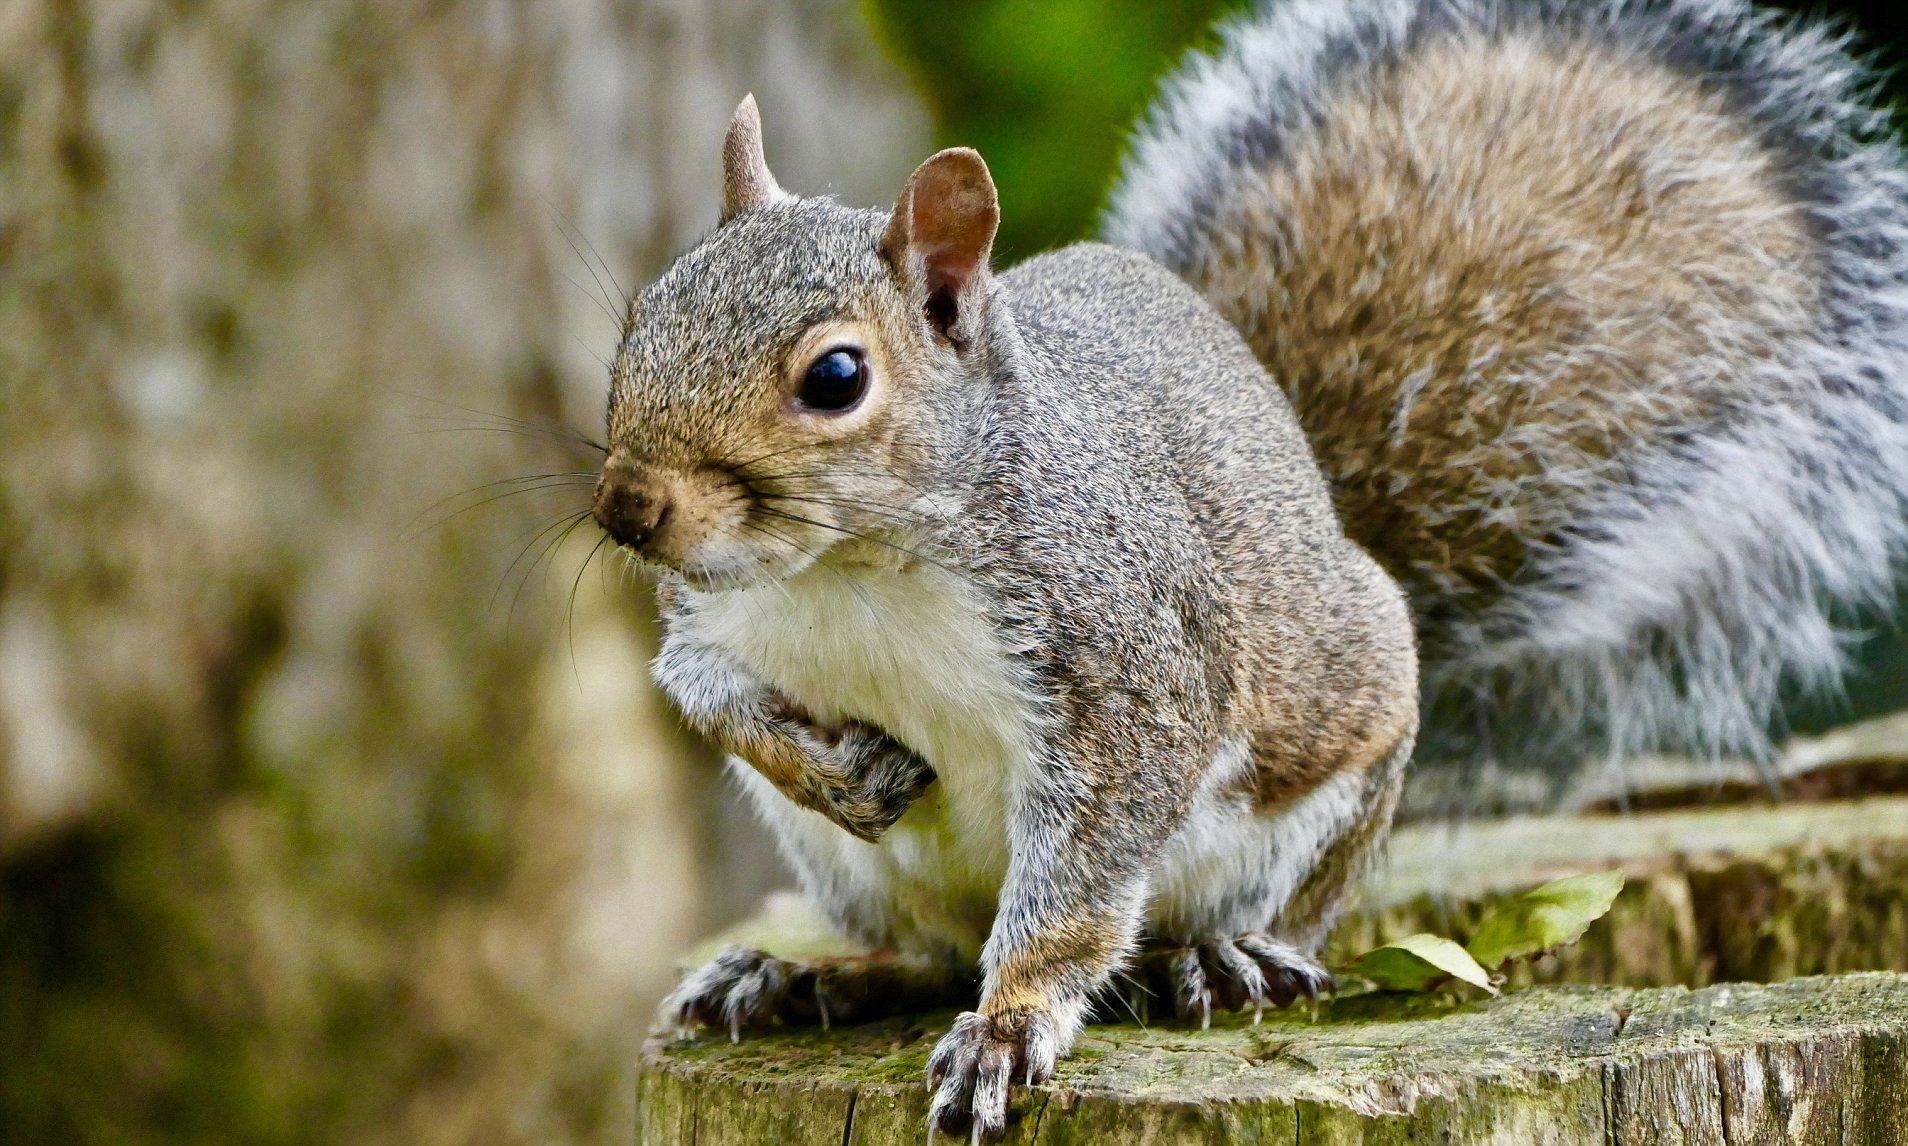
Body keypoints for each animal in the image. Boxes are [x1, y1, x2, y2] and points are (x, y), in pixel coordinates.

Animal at [580, 0, 1908, 1136]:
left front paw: (1010, 1027)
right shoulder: (717, 620)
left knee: (1240, 923)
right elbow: (704, 691)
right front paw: (835, 766)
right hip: (859, 876)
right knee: (922, 954)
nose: (628, 508)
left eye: (838, 378)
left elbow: (1081, 877)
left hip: (1316, 803)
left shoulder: (1123, 667)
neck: (844, 568)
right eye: (643, 316)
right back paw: (796, 977)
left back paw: (1217, 958)